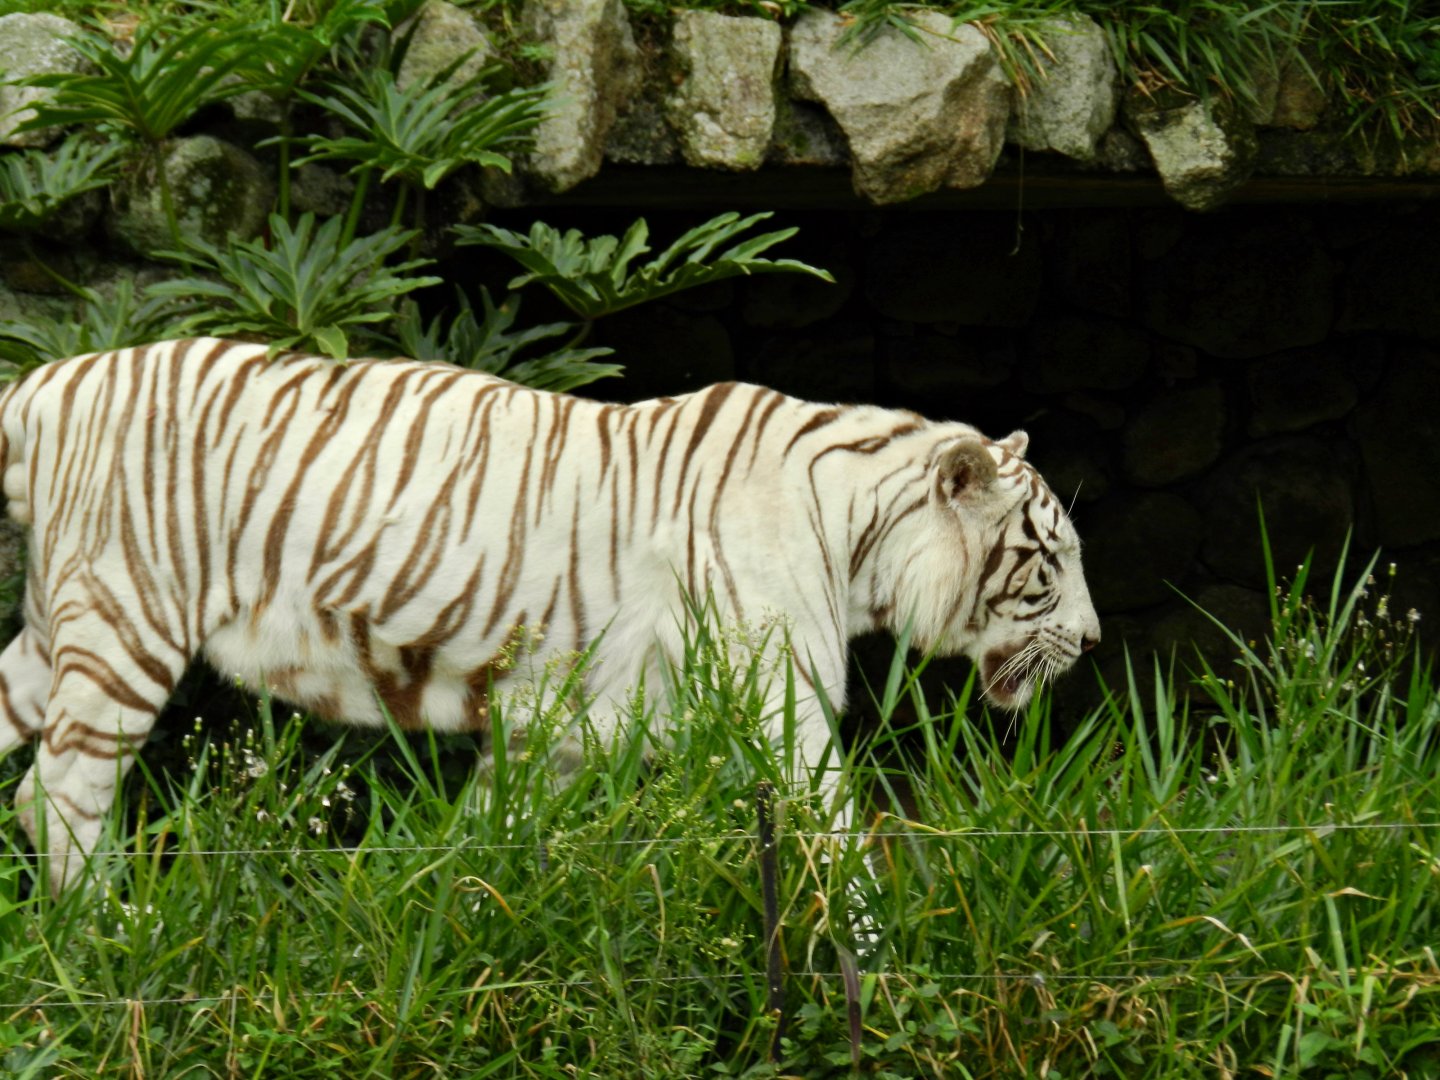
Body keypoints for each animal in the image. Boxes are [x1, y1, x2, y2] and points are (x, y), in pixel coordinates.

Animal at [0, 337, 1099, 890]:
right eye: (1049, 561)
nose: (1092, 641)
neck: (860, 528)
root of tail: (47, 382)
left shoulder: (566, 727)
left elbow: (492, 838)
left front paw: (444, 920)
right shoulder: (783, 707)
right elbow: (834, 838)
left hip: (54, 632)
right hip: (125, 615)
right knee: (59, 791)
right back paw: (111, 939)